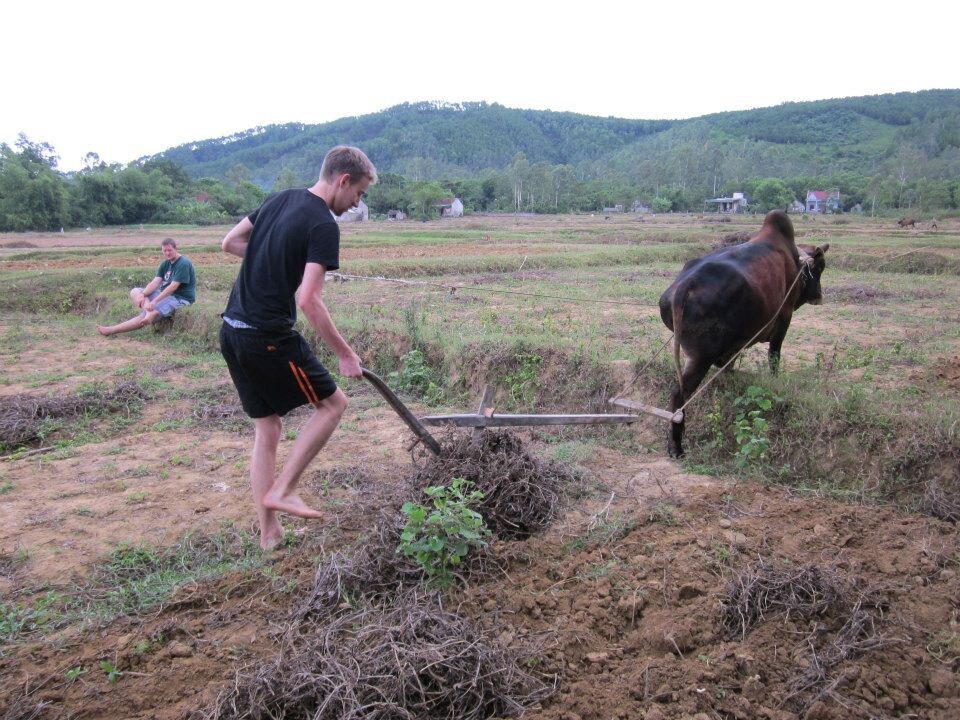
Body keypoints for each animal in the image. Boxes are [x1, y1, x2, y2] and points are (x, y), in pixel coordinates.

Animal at [656, 210, 828, 456]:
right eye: (820, 267)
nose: (819, 295)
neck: (795, 262)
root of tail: (684, 286)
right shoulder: (783, 319)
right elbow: (774, 356)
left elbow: (730, 363)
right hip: (701, 356)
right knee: (679, 395)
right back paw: (677, 446)